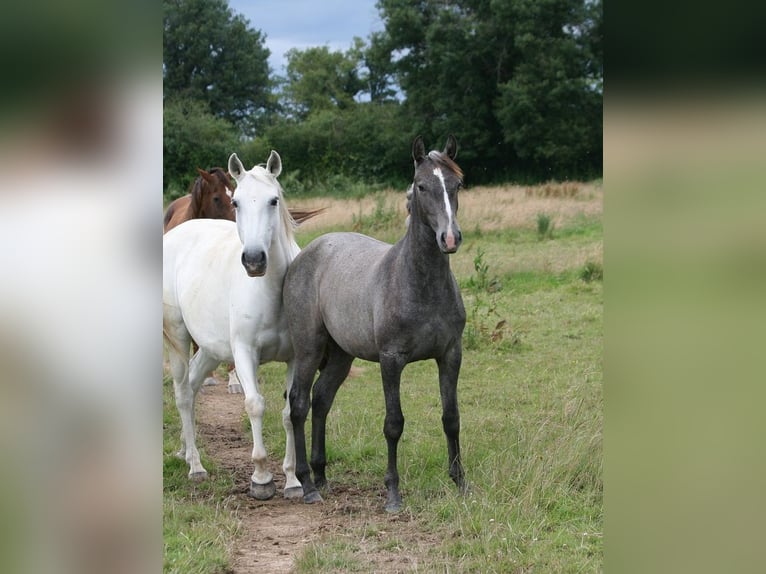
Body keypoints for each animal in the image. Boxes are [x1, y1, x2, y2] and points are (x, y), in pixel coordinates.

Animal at [162, 151, 304, 502]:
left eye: (273, 200)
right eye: (236, 202)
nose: (254, 261)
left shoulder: (296, 357)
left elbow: (290, 412)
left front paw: (292, 480)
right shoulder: (243, 353)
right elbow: (254, 405)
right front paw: (261, 478)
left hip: (210, 349)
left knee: (193, 386)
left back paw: (184, 450)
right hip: (178, 337)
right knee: (182, 393)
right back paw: (195, 465)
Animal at [284, 135, 472, 512]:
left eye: (457, 185)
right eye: (421, 186)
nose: (450, 238)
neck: (418, 283)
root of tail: (307, 254)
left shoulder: (450, 355)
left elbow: (451, 418)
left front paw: (460, 483)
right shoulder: (391, 360)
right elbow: (393, 423)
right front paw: (393, 494)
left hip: (341, 355)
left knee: (321, 400)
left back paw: (322, 474)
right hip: (309, 348)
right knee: (298, 404)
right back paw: (307, 484)